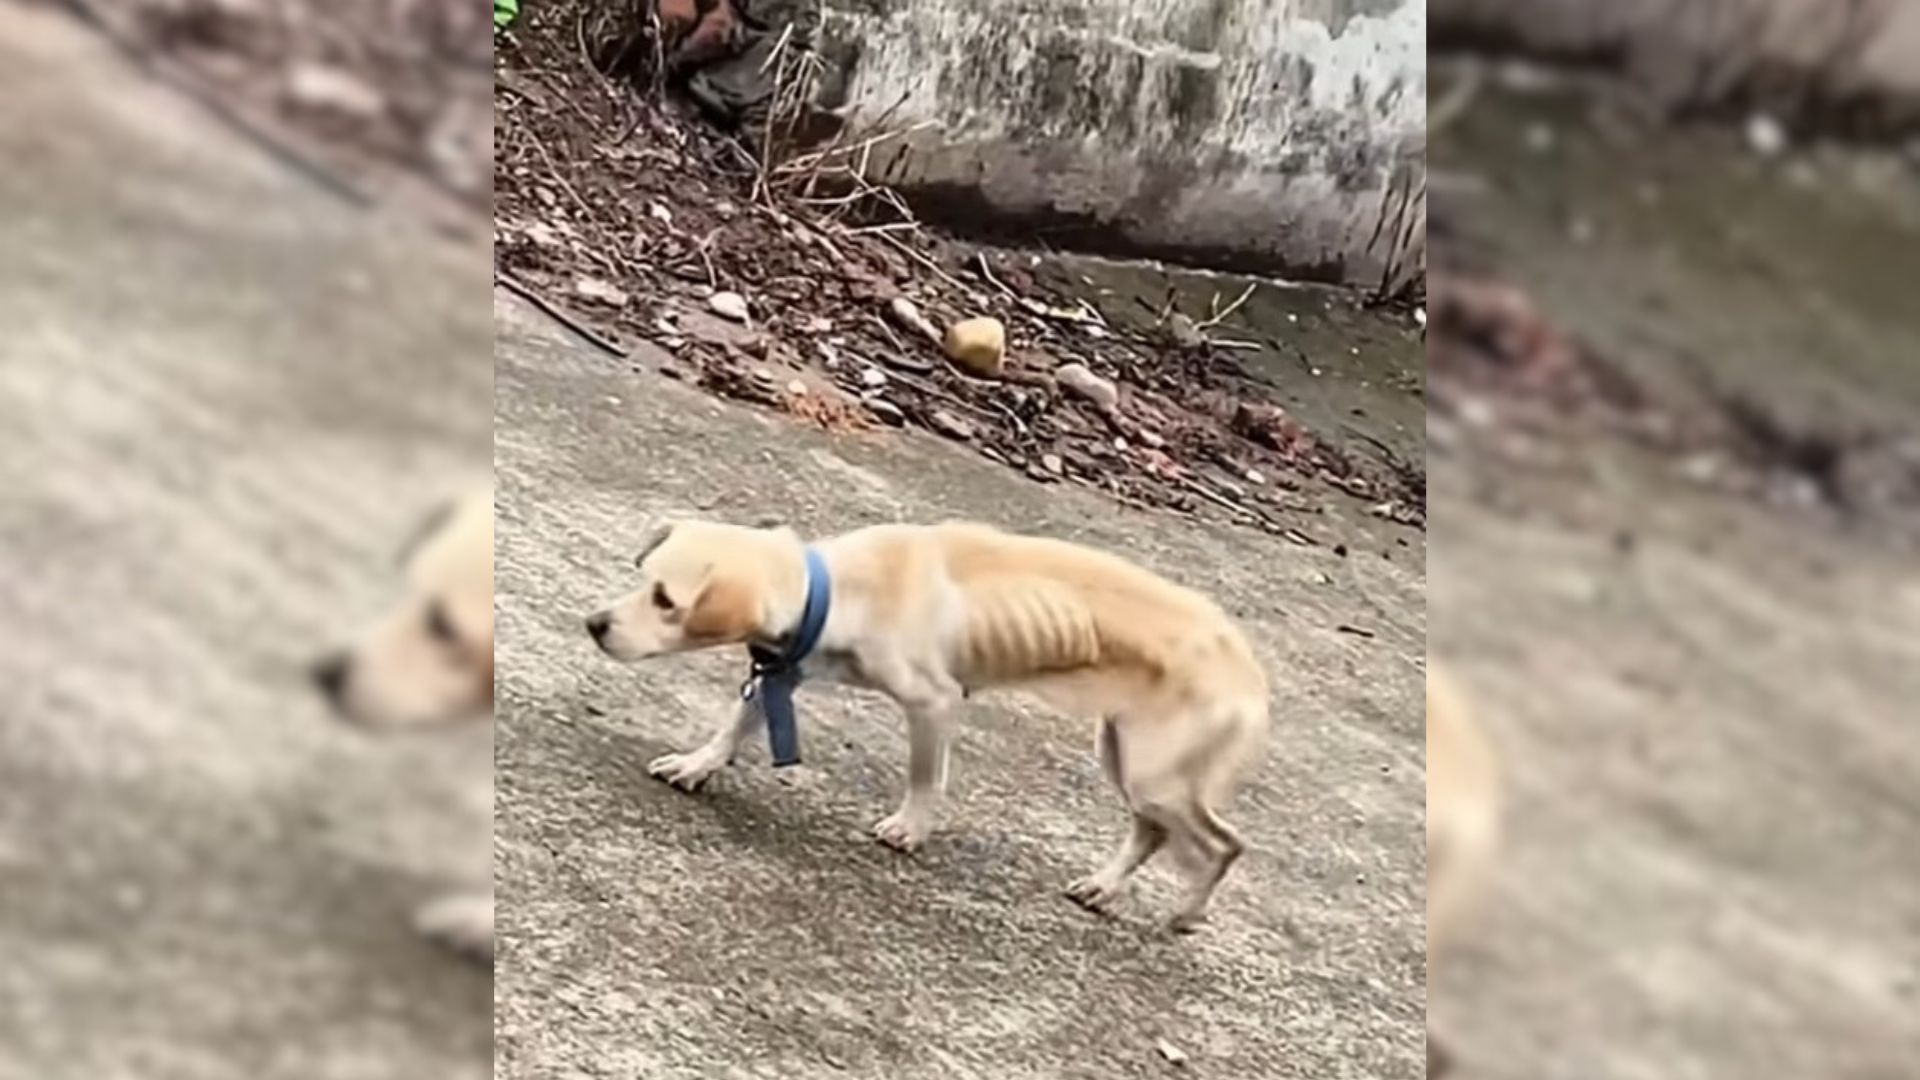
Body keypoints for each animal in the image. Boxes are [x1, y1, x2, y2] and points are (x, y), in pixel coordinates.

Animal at [583, 518, 1274, 930]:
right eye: (643, 579)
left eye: (666, 600)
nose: (594, 624)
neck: (837, 586)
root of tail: (1251, 677)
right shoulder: (785, 668)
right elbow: (735, 725)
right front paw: (698, 764)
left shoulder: (934, 702)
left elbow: (924, 776)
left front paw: (909, 829)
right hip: (1122, 750)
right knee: (1152, 833)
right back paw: (1105, 887)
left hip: (1158, 773)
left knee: (1223, 845)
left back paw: (1186, 912)